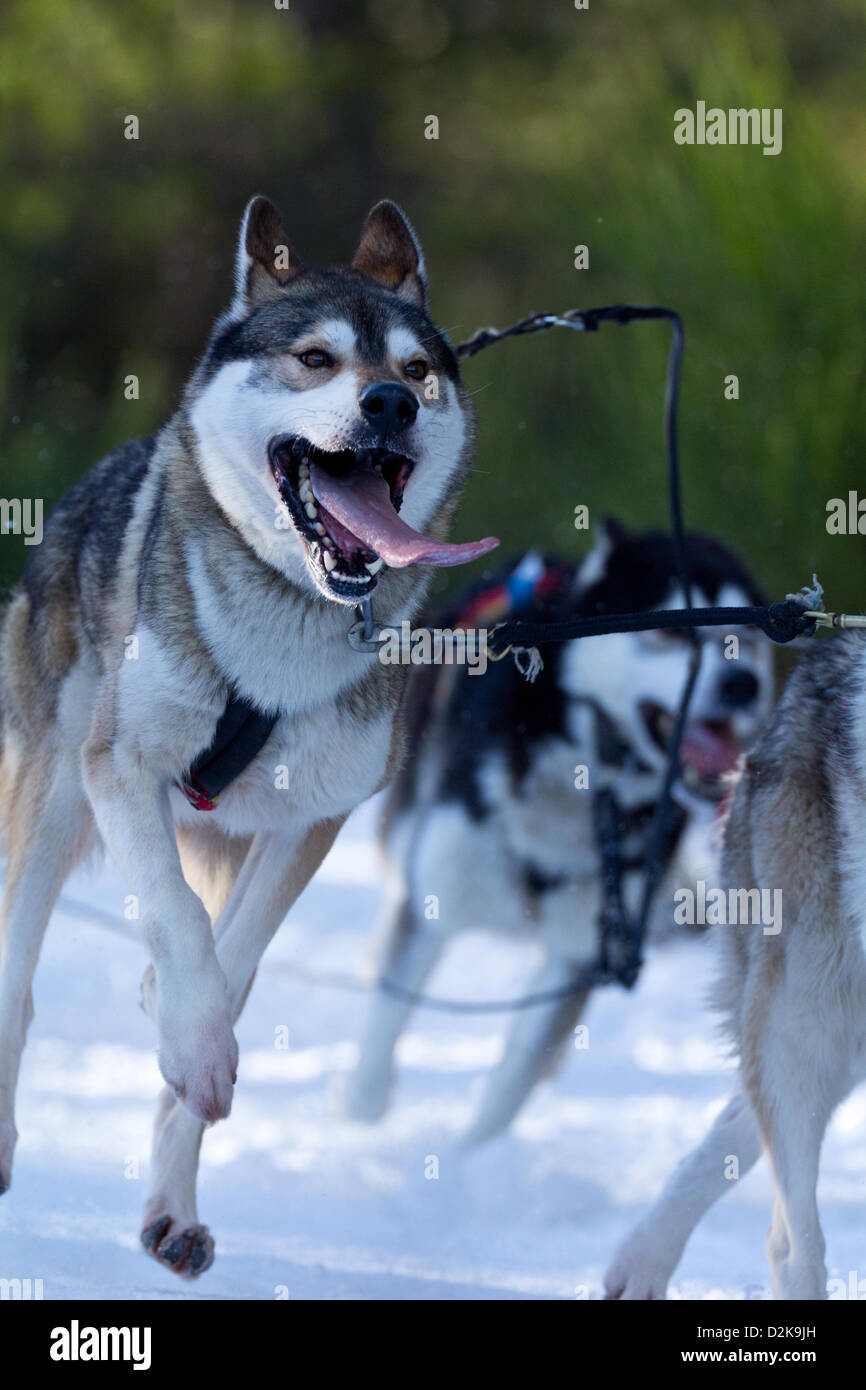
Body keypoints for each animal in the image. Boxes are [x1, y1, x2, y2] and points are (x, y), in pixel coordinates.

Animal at [0, 198, 497, 1278]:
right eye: (315, 358)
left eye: (417, 369)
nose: (389, 404)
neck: (285, 634)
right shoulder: (121, 768)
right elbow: (179, 923)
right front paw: (187, 1031)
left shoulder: (309, 822)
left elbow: (227, 965)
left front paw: (184, 1031)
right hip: (50, 806)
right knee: (16, 983)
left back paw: (171, 1207)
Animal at [343, 525, 772, 1145]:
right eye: (673, 630)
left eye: (746, 637)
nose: (743, 683)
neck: (585, 778)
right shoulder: (436, 897)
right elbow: (385, 1027)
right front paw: (359, 1117)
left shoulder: (584, 946)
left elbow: (514, 1075)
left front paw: (471, 1156)